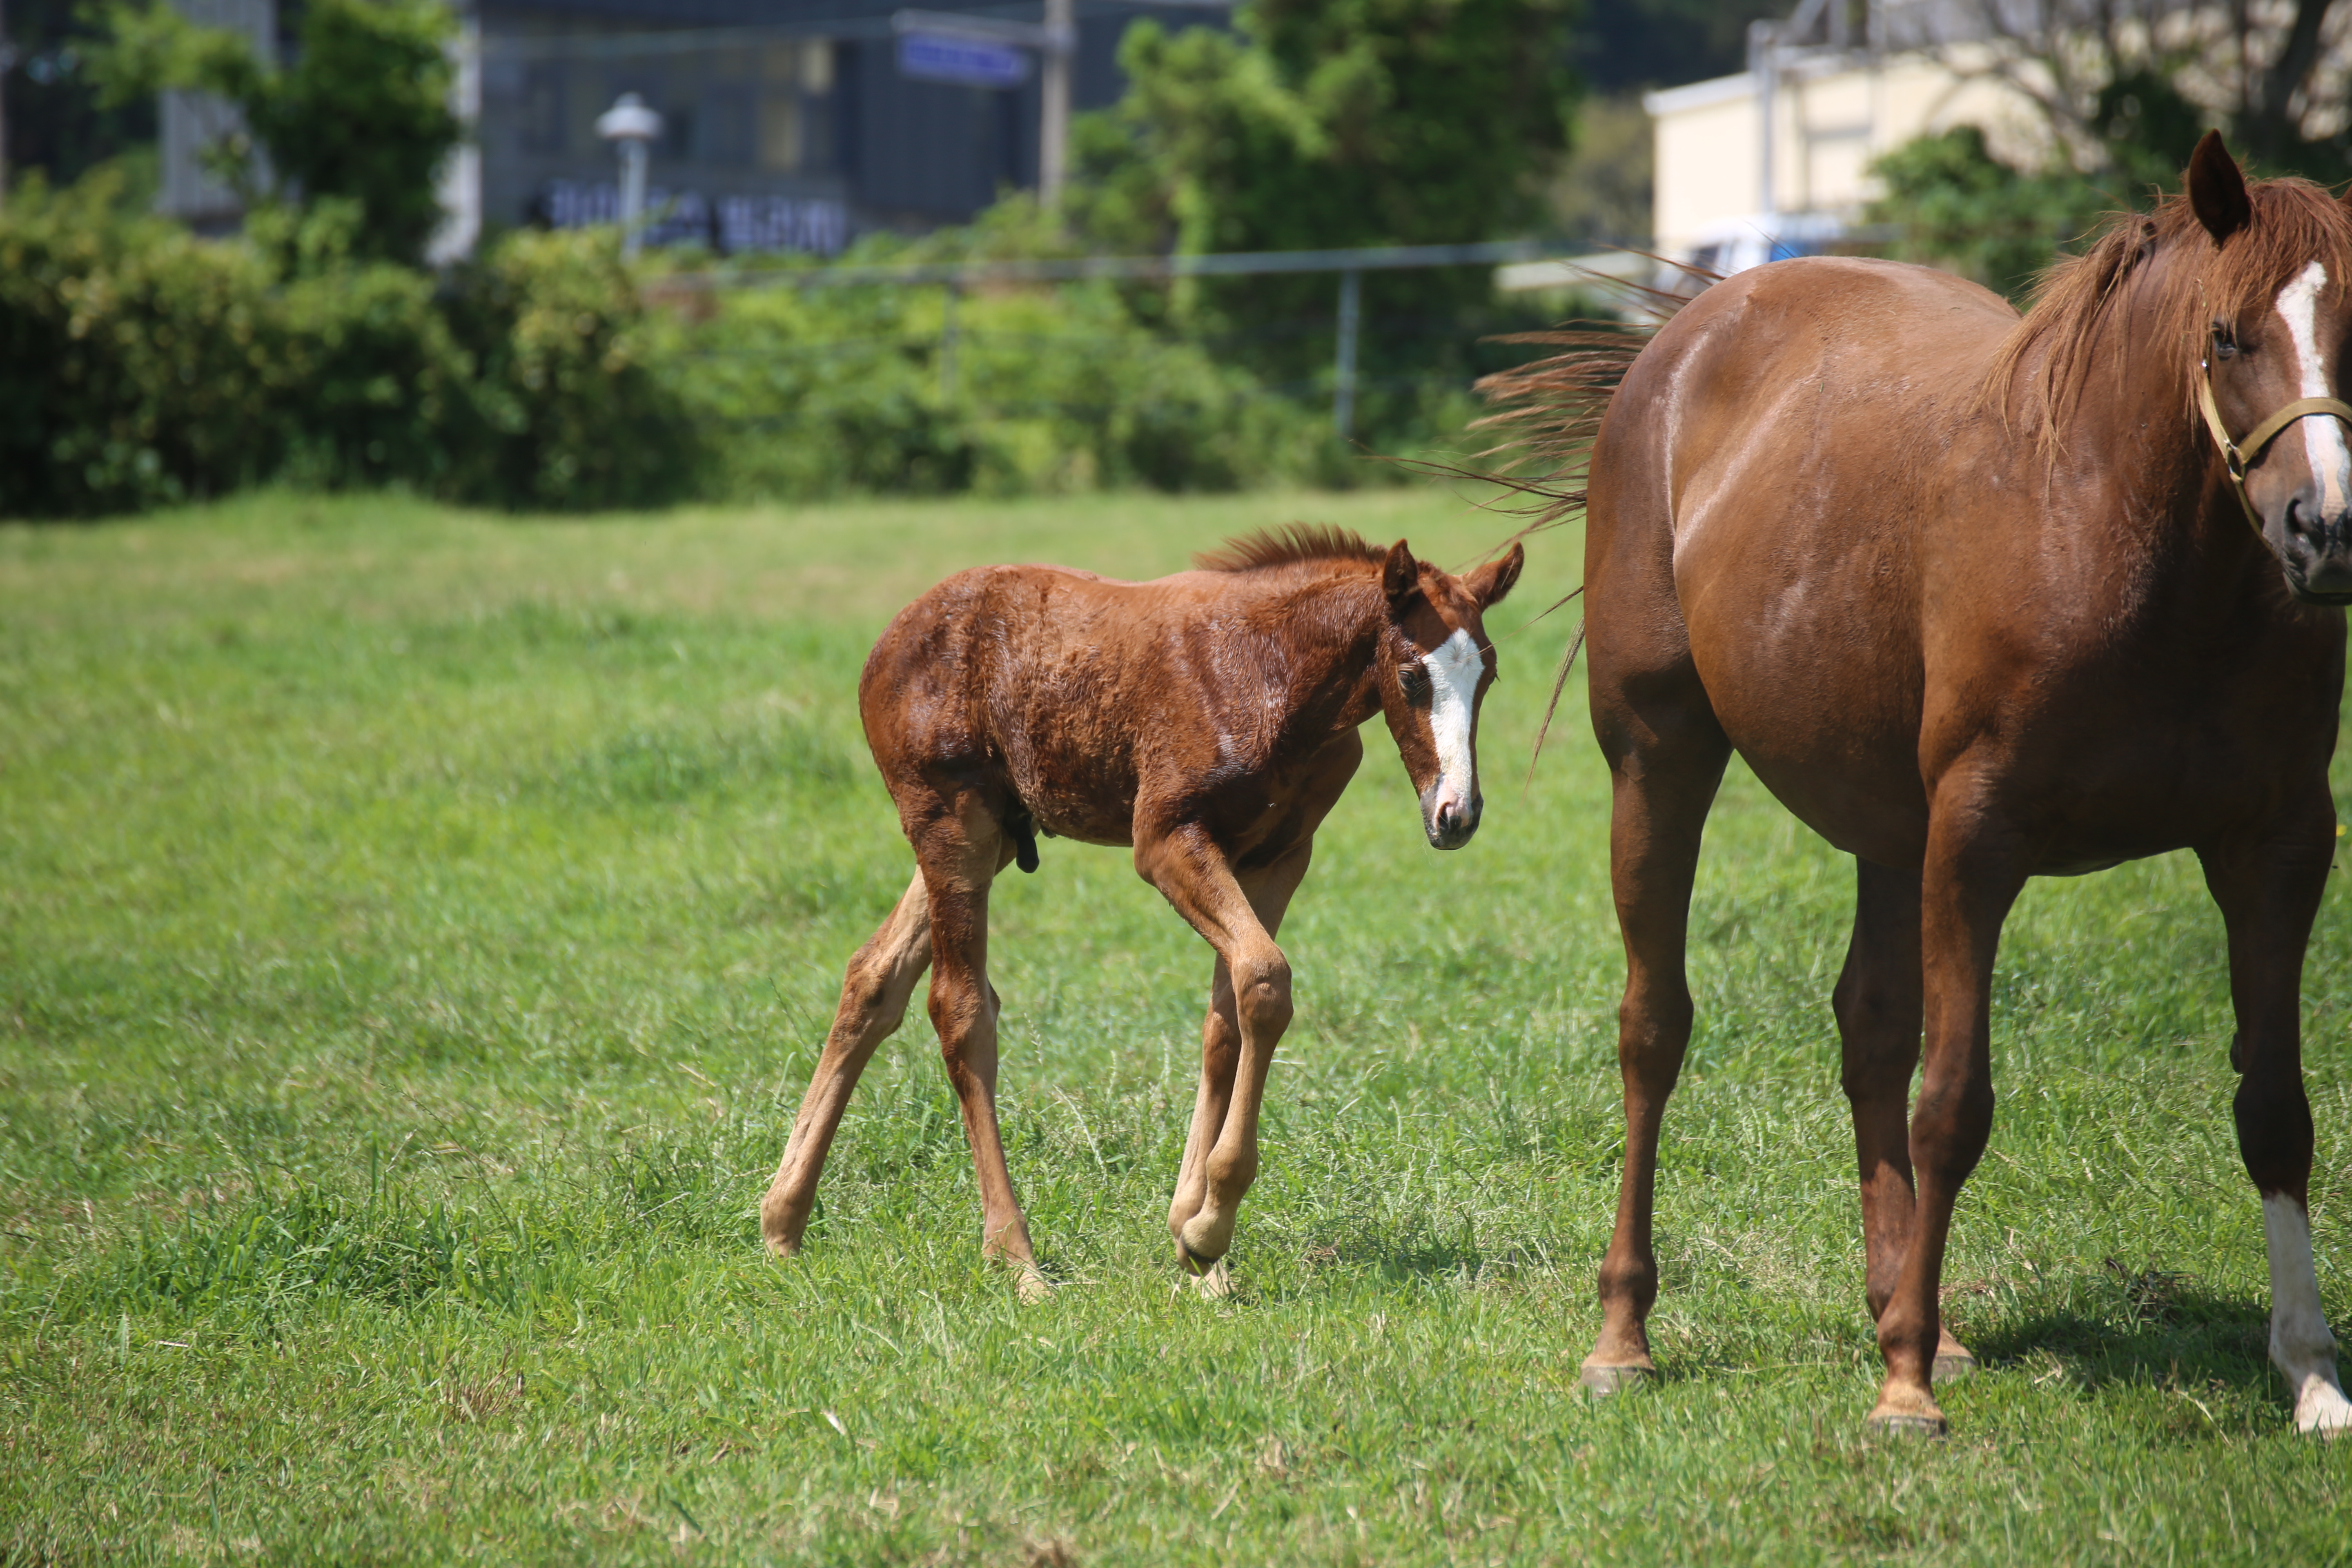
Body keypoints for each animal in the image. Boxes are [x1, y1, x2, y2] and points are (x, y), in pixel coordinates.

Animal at [757, 531, 1524, 1297]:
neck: (1272, 673)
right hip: (952, 824)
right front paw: (1210, 1226)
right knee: (960, 1010)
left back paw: (782, 1223)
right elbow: (1266, 981)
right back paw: (1016, 1258)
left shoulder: (1279, 857)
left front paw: (1197, 1242)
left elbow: (1230, 1014)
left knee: (873, 977)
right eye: (1412, 675)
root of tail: (889, 640)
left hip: (995, 835)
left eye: (1488, 676)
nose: (1456, 815)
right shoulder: (1164, 841)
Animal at [1486, 135, 2352, 1439]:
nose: (2324, 529)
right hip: (1659, 761)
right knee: (1654, 1029)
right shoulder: (1977, 840)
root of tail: (1687, 334)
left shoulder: (2279, 846)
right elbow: (1954, 1104)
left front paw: (2309, 1372)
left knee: (1869, 1030)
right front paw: (1900, 1391)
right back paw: (1627, 1334)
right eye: (2226, 334)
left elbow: (2276, 1108)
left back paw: (1916, 1312)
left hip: (1887, 829)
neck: (2123, 542)